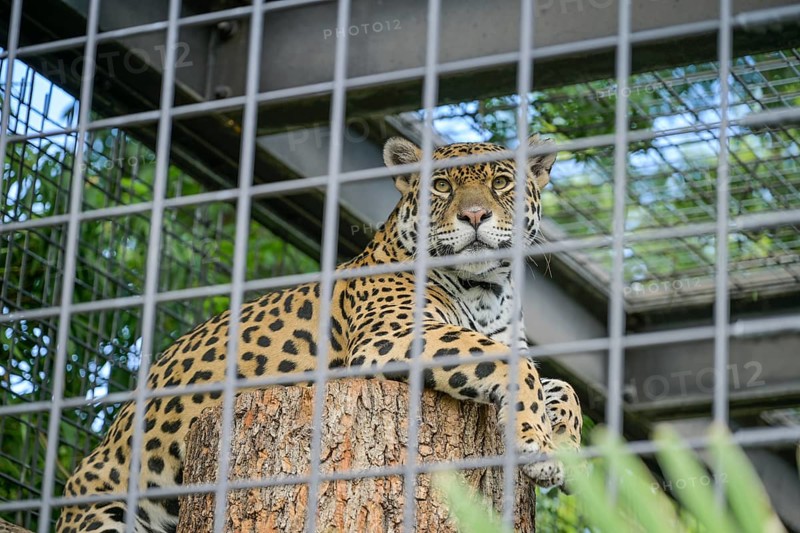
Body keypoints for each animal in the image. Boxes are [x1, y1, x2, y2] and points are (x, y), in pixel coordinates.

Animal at [56, 135, 582, 533]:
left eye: (501, 182)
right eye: (440, 186)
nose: (474, 216)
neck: (487, 289)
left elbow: (561, 386)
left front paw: (571, 451)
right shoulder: (391, 336)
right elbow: (515, 365)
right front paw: (538, 448)